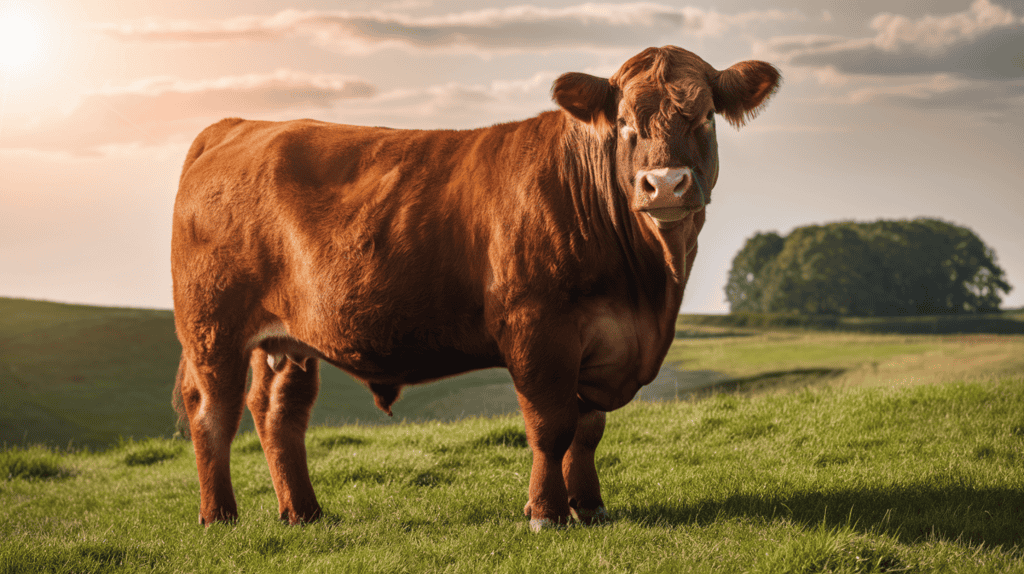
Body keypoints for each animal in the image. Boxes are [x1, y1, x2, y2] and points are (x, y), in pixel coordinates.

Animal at [172, 45, 780, 531]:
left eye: (704, 117)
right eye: (626, 122)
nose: (664, 184)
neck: (646, 290)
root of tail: (239, 125)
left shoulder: (602, 343)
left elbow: (588, 429)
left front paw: (589, 506)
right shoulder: (538, 330)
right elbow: (551, 427)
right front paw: (546, 513)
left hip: (290, 338)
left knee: (279, 413)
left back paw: (303, 513)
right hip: (212, 328)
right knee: (212, 412)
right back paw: (219, 516)